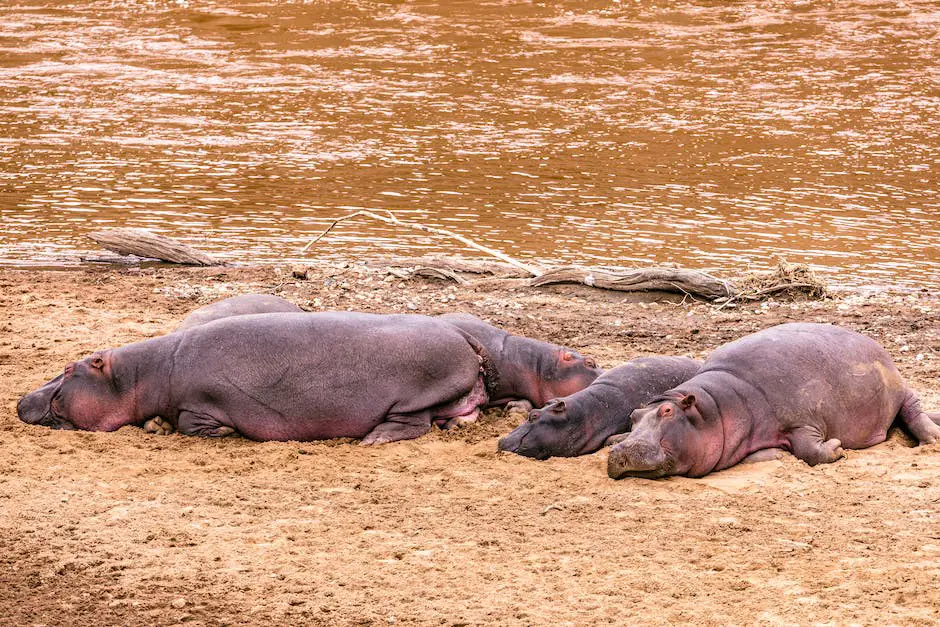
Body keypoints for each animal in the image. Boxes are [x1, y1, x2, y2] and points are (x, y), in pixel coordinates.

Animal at [16, 312, 500, 444]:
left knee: (412, 422)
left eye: (68, 368)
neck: (141, 373)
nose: (21, 399)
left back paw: (373, 438)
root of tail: (466, 338)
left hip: (416, 393)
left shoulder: (200, 402)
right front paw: (155, 425)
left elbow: (193, 424)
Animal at [604, 324, 940, 480]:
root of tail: (873, 342)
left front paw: (836, 448)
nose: (621, 451)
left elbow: (810, 450)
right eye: (633, 416)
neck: (717, 406)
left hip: (899, 389)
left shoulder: (803, 420)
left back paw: (931, 440)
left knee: (914, 410)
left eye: (667, 410)